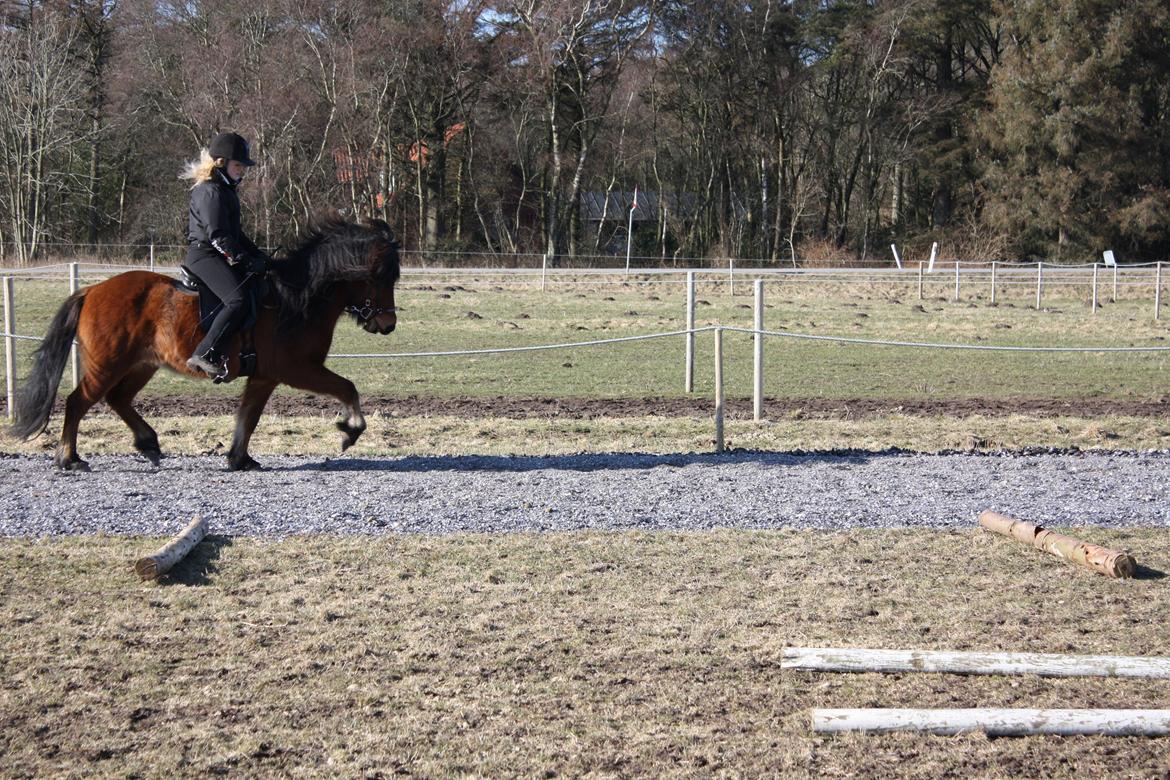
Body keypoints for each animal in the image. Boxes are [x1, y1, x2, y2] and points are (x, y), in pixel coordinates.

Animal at [8, 215, 402, 470]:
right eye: (381, 278)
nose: (388, 324)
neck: (298, 298)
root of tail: (92, 290)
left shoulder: (265, 377)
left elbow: (248, 417)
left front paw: (240, 458)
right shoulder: (296, 369)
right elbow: (347, 387)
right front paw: (351, 430)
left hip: (141, 364)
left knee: (117, 399)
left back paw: (147, 442)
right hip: (108, 364)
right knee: (78, 402)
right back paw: (69, 458)